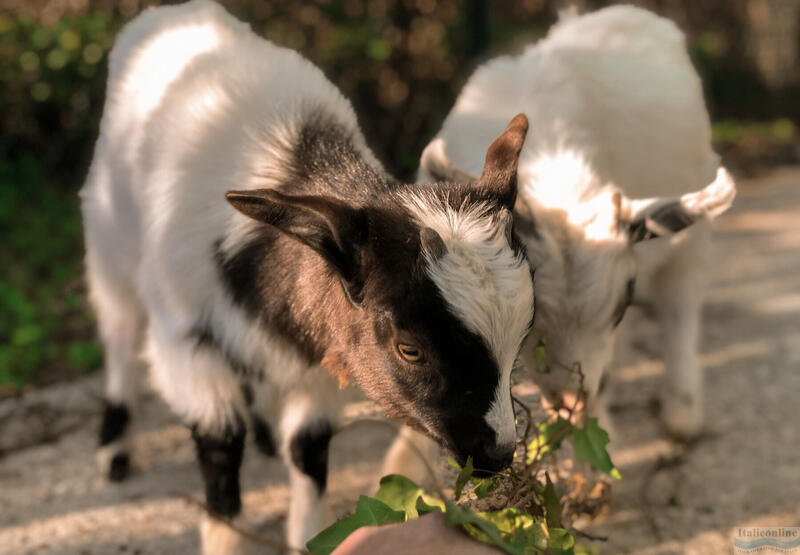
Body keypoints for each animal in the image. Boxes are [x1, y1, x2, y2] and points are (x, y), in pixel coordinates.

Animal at [81, 0, 536, 552]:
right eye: (410, 349)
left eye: (524, 335)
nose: (499, 454)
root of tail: (171, 13)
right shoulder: (186, 343)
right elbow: (220, 446)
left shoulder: (323, 347)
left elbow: (308, 449)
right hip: (108, 240)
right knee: (119, 334)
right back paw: (115, 447)